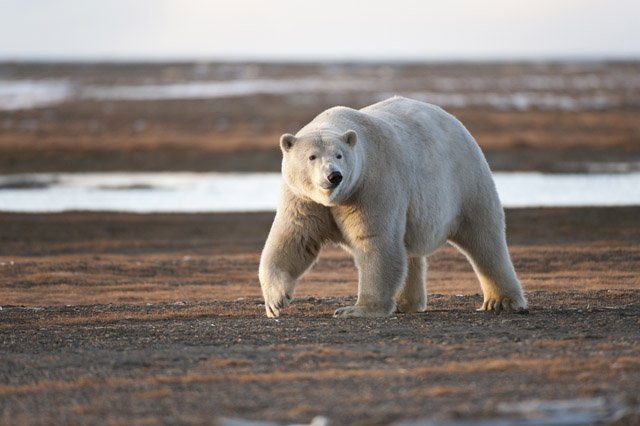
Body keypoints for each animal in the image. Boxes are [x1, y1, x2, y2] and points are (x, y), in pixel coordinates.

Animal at [259, 96, 527, 318]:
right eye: (312, 156)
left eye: (339, 155)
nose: (334, 176)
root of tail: (455, 121)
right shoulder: (303, 198)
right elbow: (294, 238)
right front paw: (276, 301)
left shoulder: (371, 185)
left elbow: (375, 241)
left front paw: (356, 309)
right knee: (409, 250)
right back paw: (406, 302)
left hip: (465, 181)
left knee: (484, 237)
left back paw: (501, 301)